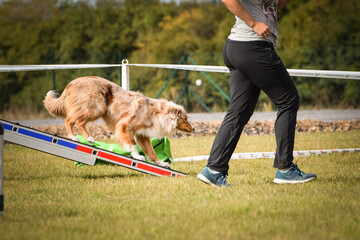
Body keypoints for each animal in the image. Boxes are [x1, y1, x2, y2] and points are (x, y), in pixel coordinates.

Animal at [44, 76, 194, 168]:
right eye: (185, 119)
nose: (194, 129)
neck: (156, 113)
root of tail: (72, 83)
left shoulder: (142, 135)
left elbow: (151, 152)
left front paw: (161, 163)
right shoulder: (124, 126)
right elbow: (132, 144)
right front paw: (137, 156)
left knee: (74, 120)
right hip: (97, 107)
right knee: (73, 120)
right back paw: (80, 137)